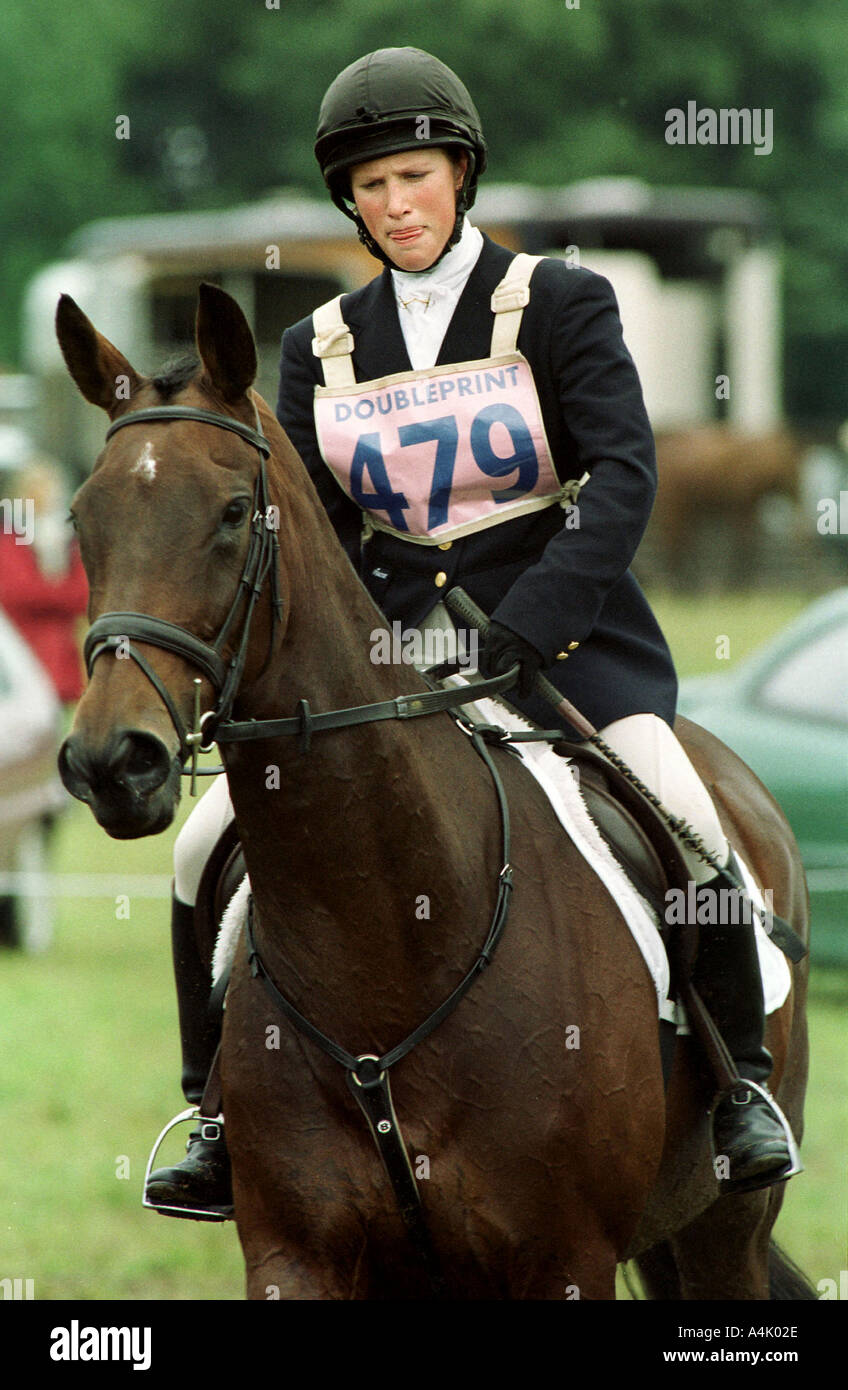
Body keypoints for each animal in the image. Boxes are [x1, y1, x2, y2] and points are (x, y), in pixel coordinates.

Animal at [55, 283, 813, 1300]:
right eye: (81, 521)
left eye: (231, 513)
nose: (112, 761)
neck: (391, 936)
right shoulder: (298, 1253)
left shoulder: (564, 1260)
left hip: (724, 1226)